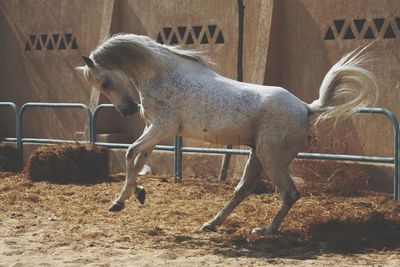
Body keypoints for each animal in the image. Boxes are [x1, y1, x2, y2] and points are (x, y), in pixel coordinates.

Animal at [76, 34, 378, 237]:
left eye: (104, 82)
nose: (128, 110)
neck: (164, 75)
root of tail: (307, 107)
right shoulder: (154, 130)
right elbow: (138, 160)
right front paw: (135, 194)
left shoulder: (161, 128)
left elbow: (129, 154)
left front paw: (118, 202)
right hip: (257, 155)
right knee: (243, 190)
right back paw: (212, 224)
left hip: (272, 160)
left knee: (290, 193)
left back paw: (266, 230)